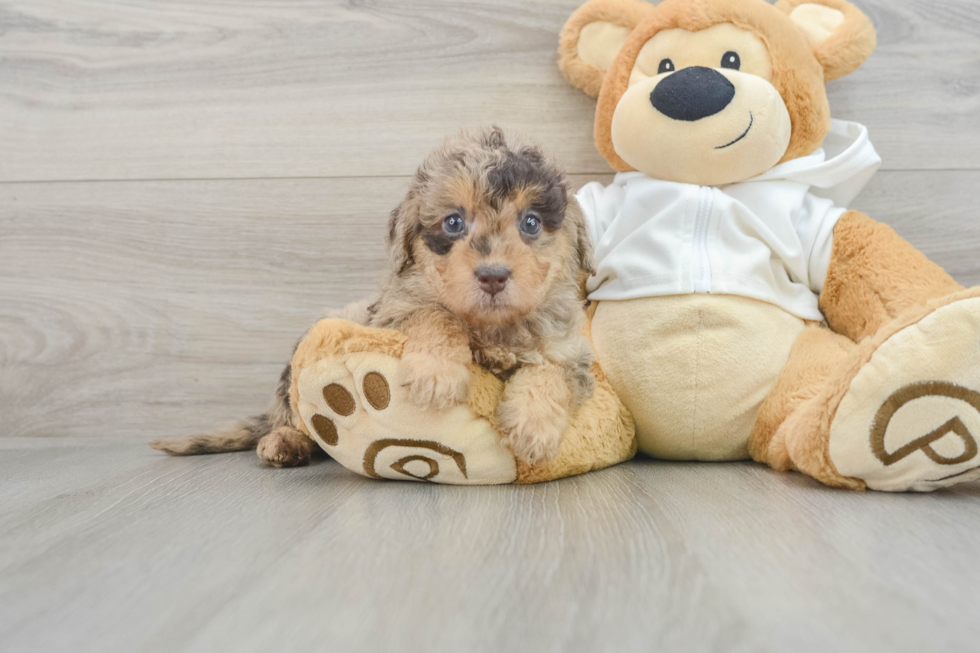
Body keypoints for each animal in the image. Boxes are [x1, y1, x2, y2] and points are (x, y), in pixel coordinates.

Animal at [151, 125, 596, 466]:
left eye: (531, 223)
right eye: (453, 222)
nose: (493, 276)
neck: (492, 328)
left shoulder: (570, 347)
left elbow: (554, 372)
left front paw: (532, 427)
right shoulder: (392, 313)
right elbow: (436, 315)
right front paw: (437, 373)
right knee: (294, 416)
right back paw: (285, 441)